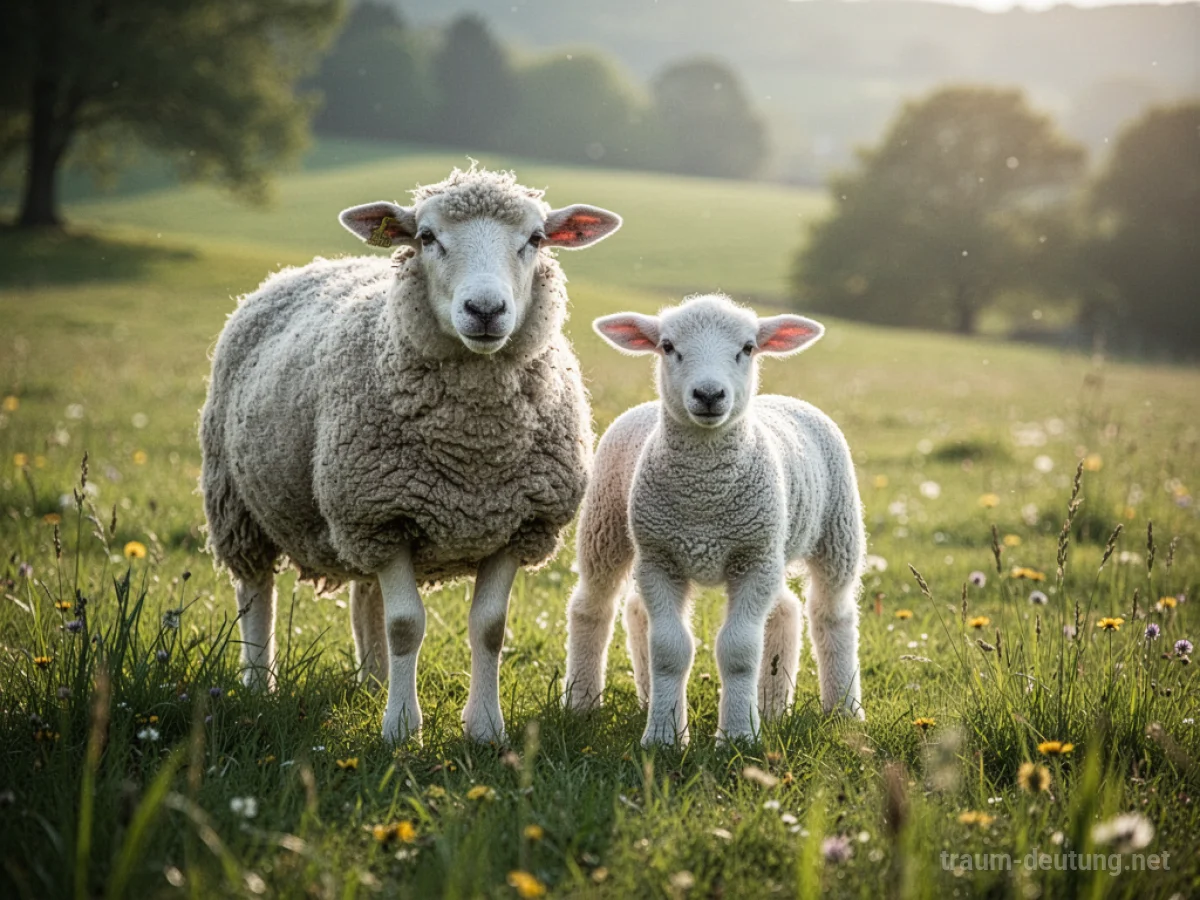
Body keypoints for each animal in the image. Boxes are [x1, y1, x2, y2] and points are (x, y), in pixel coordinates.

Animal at [199, 166, 621, 744]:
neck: (474, 449)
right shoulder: (381, 513)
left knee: (366, 598)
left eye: (535, 239)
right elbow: (406, 627)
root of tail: (303, 268)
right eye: (426, 237)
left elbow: (489, 629)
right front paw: (401, 729)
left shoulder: (516, 525)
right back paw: (259, 684)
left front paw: (485, 730)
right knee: (255, 592)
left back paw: (374, 682)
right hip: (239, 503)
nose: (485, 310)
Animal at [562, 294, 865, 746]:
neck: (704, 499)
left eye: (748, 348)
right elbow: (669, 649)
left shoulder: (753, 556)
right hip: (605, 525)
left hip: (834, 533)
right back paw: (586, 704)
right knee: (596, 607)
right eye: (667, 346)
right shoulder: (660, 556)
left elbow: (739, 650)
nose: (708, 394)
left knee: (830, 613)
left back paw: (838, 711)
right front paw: (664, 737)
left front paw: (738, 735)